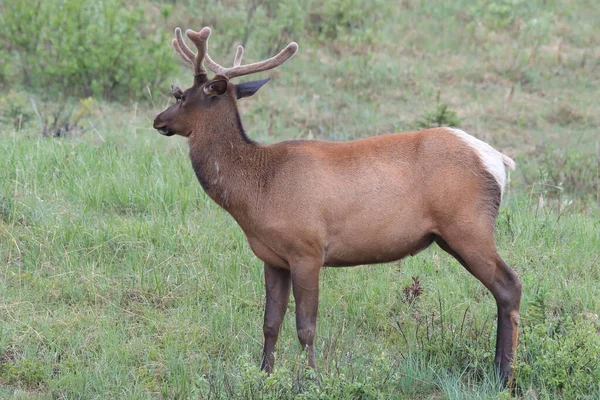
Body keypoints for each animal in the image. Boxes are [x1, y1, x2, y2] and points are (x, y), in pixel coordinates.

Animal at [154, 26, 520, 386]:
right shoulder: (272, 257)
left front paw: (313, 381)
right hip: (450, 235)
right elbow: (270, 322)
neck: (257, 189)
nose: (158, 120)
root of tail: (499, 161)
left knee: (510, 285)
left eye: (181, 96)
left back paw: (504, 375)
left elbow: (306, 326)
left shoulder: (307, 250)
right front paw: (264, 377)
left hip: (468, 226)